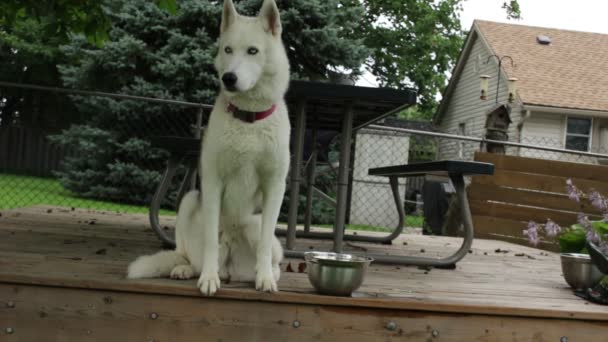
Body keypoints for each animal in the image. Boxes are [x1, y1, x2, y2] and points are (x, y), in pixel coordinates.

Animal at [126, 0, 290, 296]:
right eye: (228, 49)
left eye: (253, 50)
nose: (229, 78)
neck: (248, 120)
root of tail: (231, 270)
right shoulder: (214, 181)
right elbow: (211, 240)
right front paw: (209, 279)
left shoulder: (275, 186)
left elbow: (264, 247)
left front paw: (265, 280)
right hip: (190, 200)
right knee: (189, 256)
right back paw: (189, 270)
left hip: (258, 228)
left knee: (273, 260)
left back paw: (264, 274)